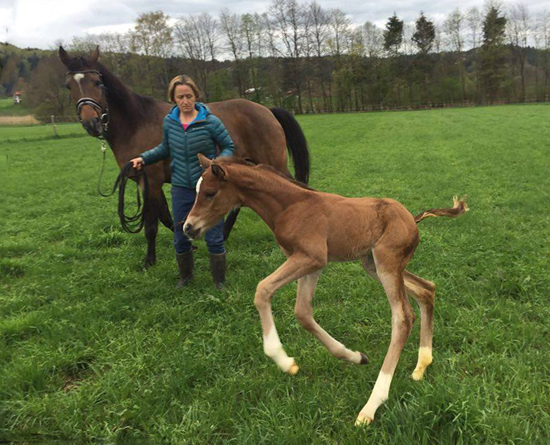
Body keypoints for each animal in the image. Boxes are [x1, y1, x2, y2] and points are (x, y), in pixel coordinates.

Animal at [61, 45, 310, 268]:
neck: (136, 123)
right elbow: (165, 217)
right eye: (68, 86)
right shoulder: (147, 182)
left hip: (273, 162)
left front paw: (150, 260)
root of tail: (267, 110)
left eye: (97, 83)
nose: (91, 123)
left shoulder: (151, 181)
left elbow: (151, 224)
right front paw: (189, 241)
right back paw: (225, 233)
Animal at [183, 155, 468, 424]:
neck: (290, 206)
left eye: (209, 193)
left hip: (387, 264)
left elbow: (263, 290)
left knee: (403, 317)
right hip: (373, 264)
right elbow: (303, 313)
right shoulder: (310, 263)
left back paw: (372, 405)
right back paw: (422, 365)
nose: (188, 227)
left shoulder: (311, 257)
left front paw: (284, 361)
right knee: (427, 289)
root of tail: (413, 219)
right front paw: (355, 356)